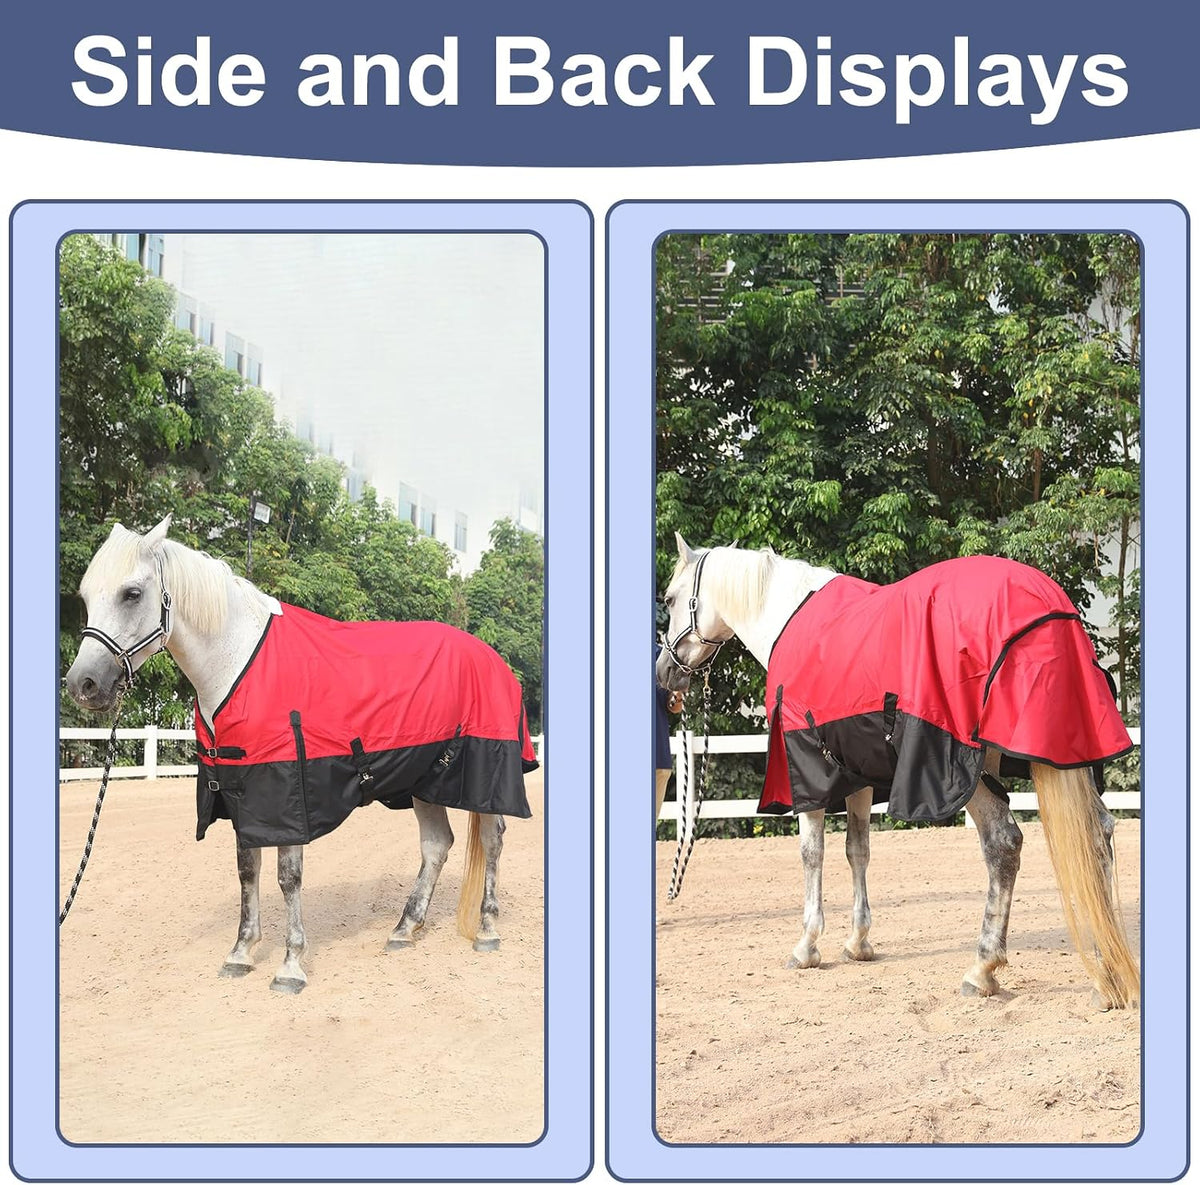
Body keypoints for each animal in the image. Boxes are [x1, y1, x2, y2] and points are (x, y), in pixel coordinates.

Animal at [64, 516, 538, 994]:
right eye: (85, 596)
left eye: (132, 593)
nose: (82, 684)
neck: (238, 664)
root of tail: (493, 658)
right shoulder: (241, 792)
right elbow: (248, 870)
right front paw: (240, 953)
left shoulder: (287, 793)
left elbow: (287, 877)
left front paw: (290, 964)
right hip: (423, 781)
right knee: (437, 845)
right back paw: (404, 929)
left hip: (483, 777)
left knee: (492, 839)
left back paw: (487, 929)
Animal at [656, 533, 1140, 1010]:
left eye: (671, 598)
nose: (665, 675)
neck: (786, 618)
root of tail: (1045, 607)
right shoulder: (857, 775)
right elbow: (858, 850)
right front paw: (858, 942)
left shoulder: (808, 769)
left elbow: (813, 854)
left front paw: (807, 946)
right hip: (1064, 758)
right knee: (1097, 835)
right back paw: (1108, 971)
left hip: (967, 770)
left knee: (1003, 843)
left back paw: (983, 969)